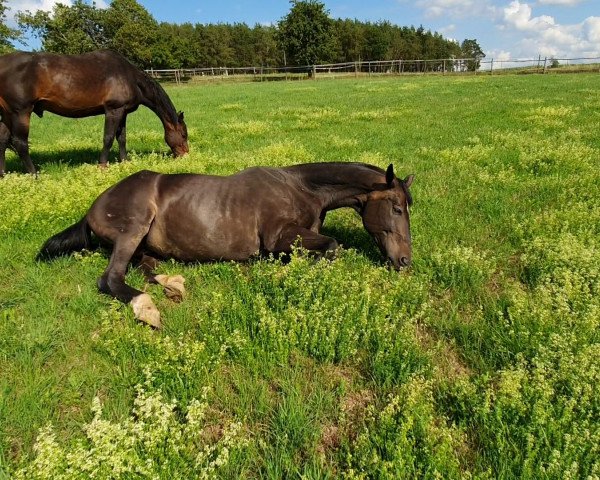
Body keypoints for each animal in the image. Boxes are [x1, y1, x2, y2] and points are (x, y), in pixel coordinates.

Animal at [0, 49, 188, 176]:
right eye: (184, 135)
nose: (185, 155)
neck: (129, 77)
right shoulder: (113, 110)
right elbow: (109, 138)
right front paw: (102, 165)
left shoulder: (123, 112)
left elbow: (122, 138)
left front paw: (125, 162)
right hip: (21, 112)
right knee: (20, 143)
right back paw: (34, 175)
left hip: (7, 114)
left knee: (2, 140)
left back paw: (3, 174)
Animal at [37, 163, 412, 328]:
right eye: (396, 208)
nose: (405, 261)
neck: (301, 188)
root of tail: (92, 208)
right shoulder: (277, 236)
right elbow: (333, 246)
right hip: (134, 227)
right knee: (111, 278)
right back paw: (148, 308)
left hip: (143, 242)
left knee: (145, 266)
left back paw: (173, 285)